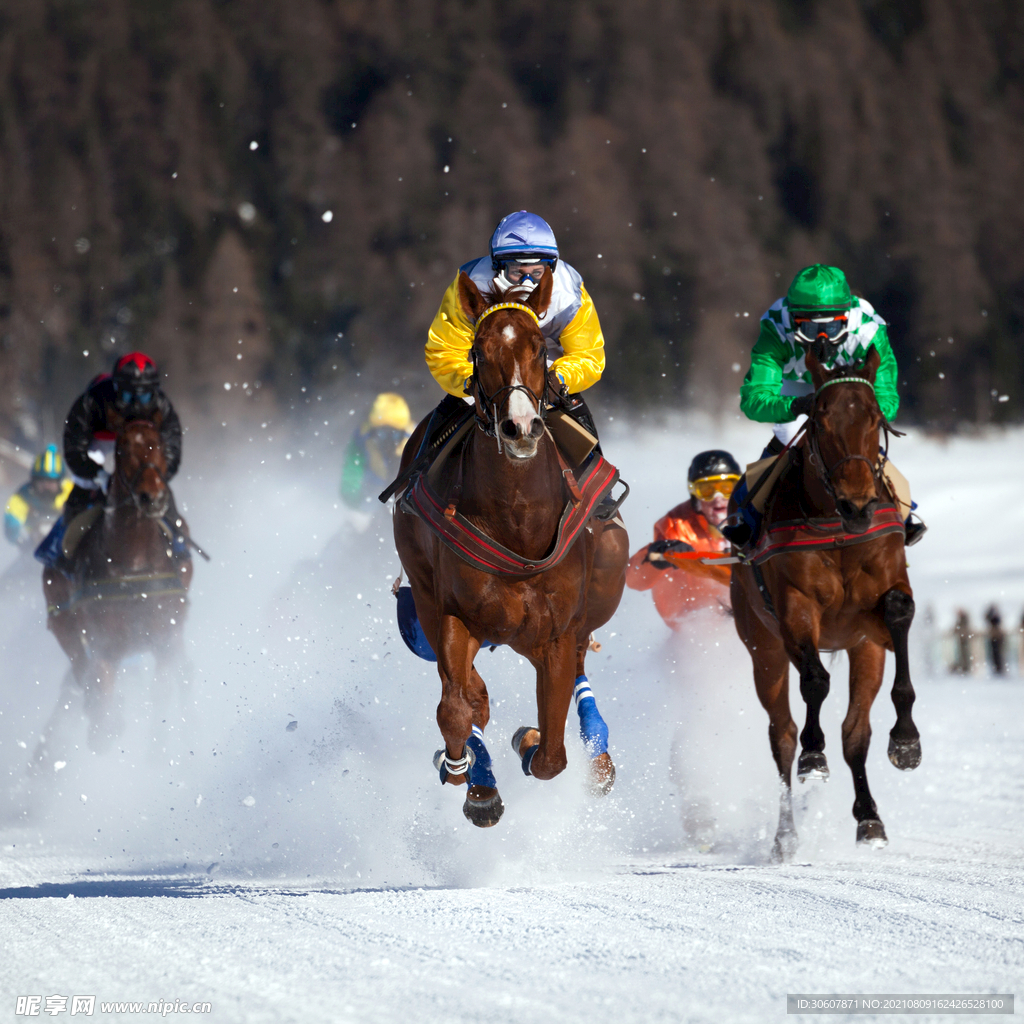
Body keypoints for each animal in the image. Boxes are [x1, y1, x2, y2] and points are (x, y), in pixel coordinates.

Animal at [37, 415, 193, 761]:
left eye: (159, 444)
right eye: (121, 450)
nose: (152, 496)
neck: (133, 563)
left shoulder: (165, 631)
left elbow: (163, 685)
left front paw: (161, 746)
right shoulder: (103, 641)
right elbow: (101, 686)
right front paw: (105, 728)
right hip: (63, 621)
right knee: (80, 668)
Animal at [393, 270, 626, 823]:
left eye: (540, 347)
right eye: (478, 348)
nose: (519, 426)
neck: (517, 520)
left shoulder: (555, 631)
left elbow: (552, 754)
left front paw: (529, 739)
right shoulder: (455, 614)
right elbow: (458, 706)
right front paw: (471, 778)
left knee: (579, 672)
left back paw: (597, 756)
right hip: (429, 594)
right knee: (464, 690)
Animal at [729, 348, 921, 860]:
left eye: (875, 417)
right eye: (820, 417)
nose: (858, 504)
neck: (837, 530)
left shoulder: (874, 618)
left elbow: (899, 611)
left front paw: (906, 740)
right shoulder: (795, 609)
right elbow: (814, 681)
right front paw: (814, 756)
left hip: (861, 648)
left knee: (855, 735)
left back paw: (869, 818)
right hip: (762, 647)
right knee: (781, 736)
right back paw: (785, 834)